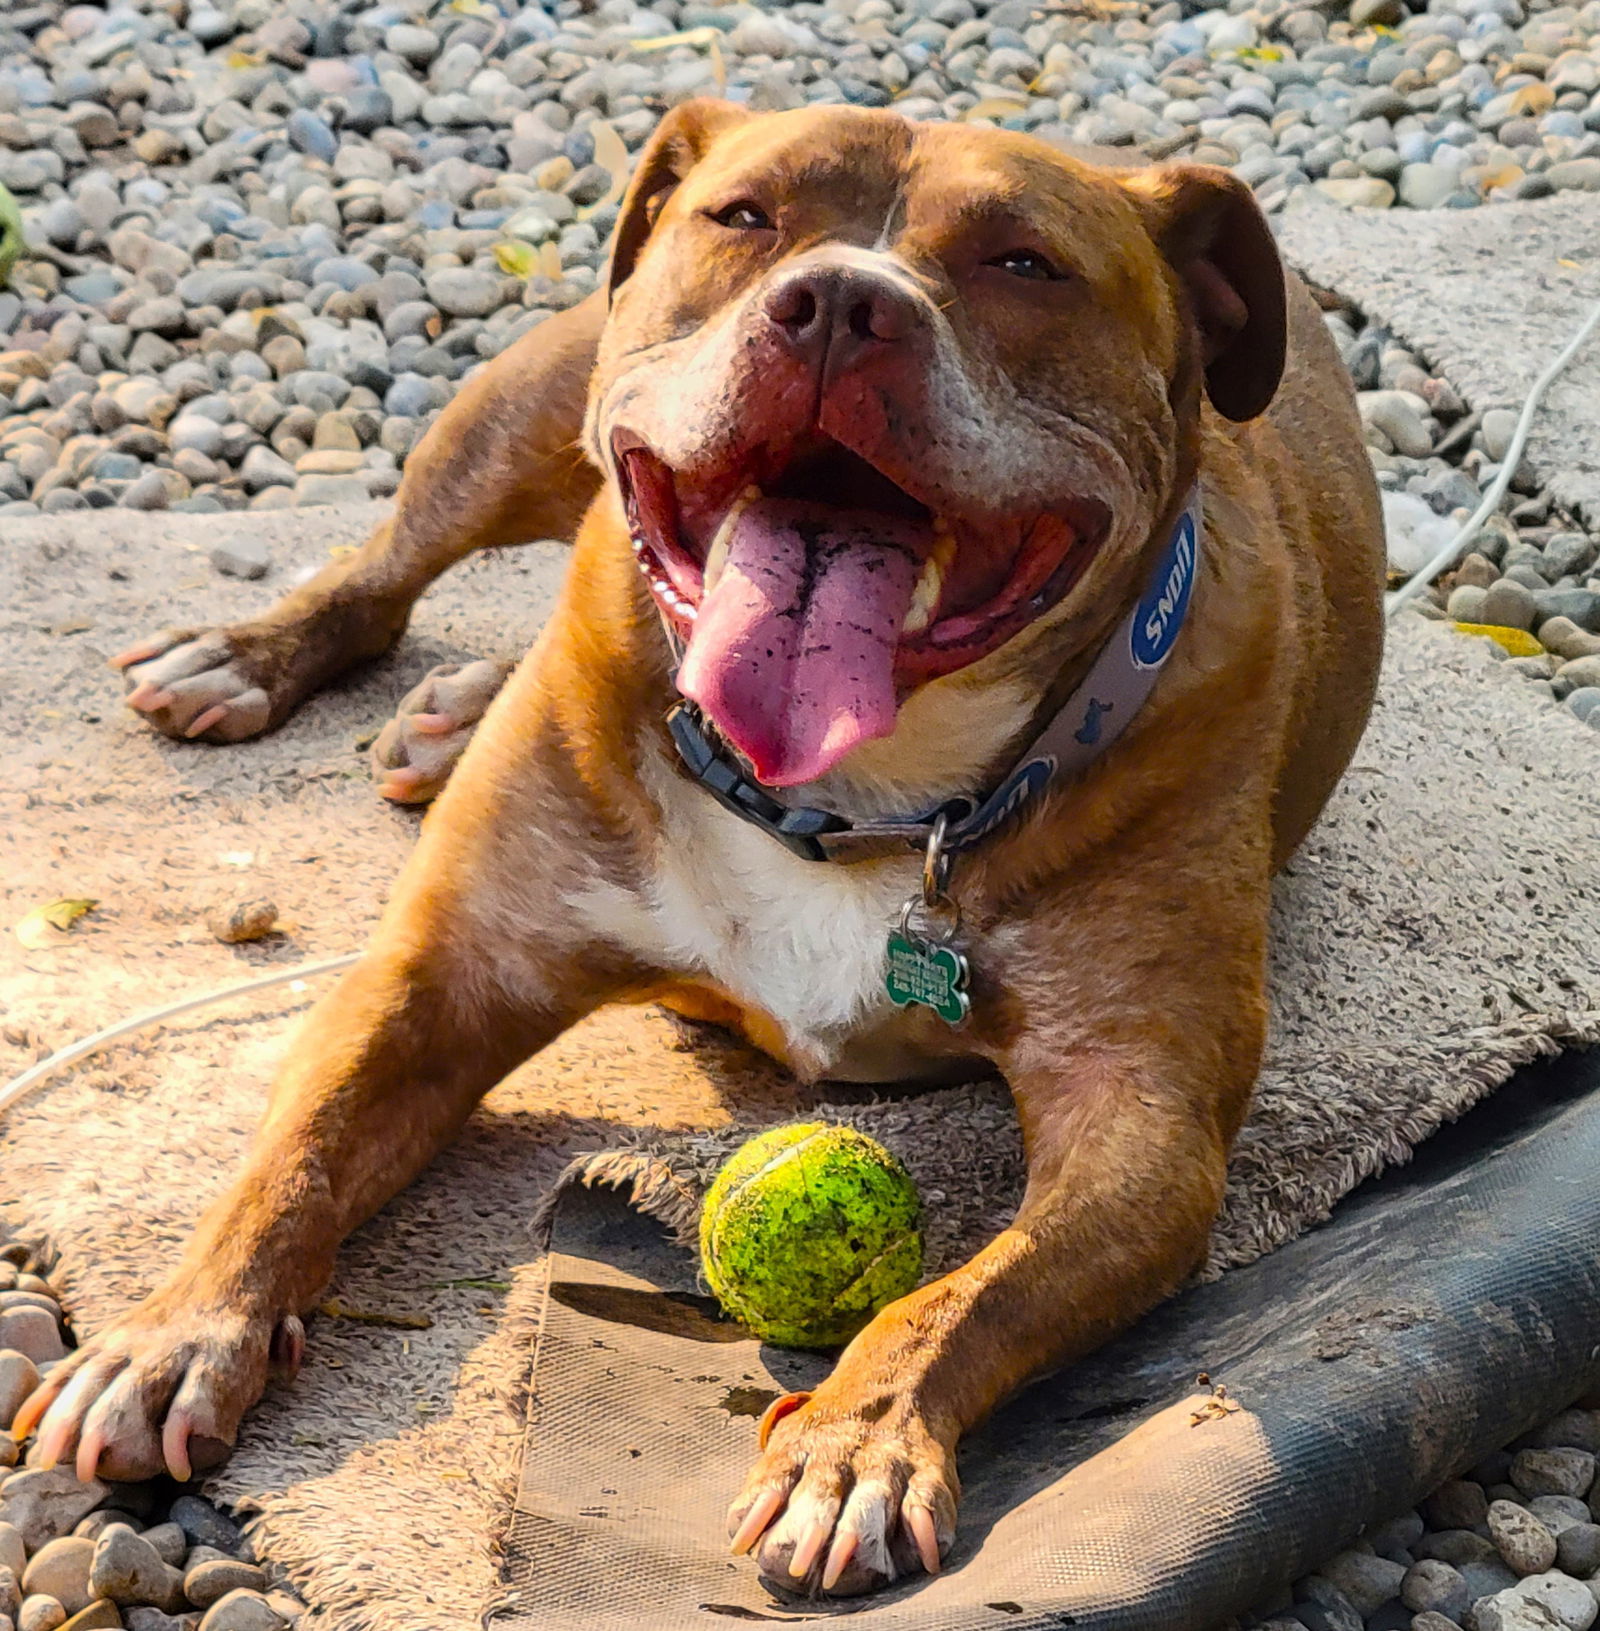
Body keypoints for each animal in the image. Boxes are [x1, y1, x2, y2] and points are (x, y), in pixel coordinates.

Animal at [18, 98, 1383, 1591]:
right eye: (744, 216)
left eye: (1025, 262)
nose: (840, 302)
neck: (853, 798)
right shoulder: (436, 981)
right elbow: (292, 1159)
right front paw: (172, 1334)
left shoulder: (1142, 1127)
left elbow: (964, 1296)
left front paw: (853, 1439)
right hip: (516, 415)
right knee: (392, 559)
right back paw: (257, 654)